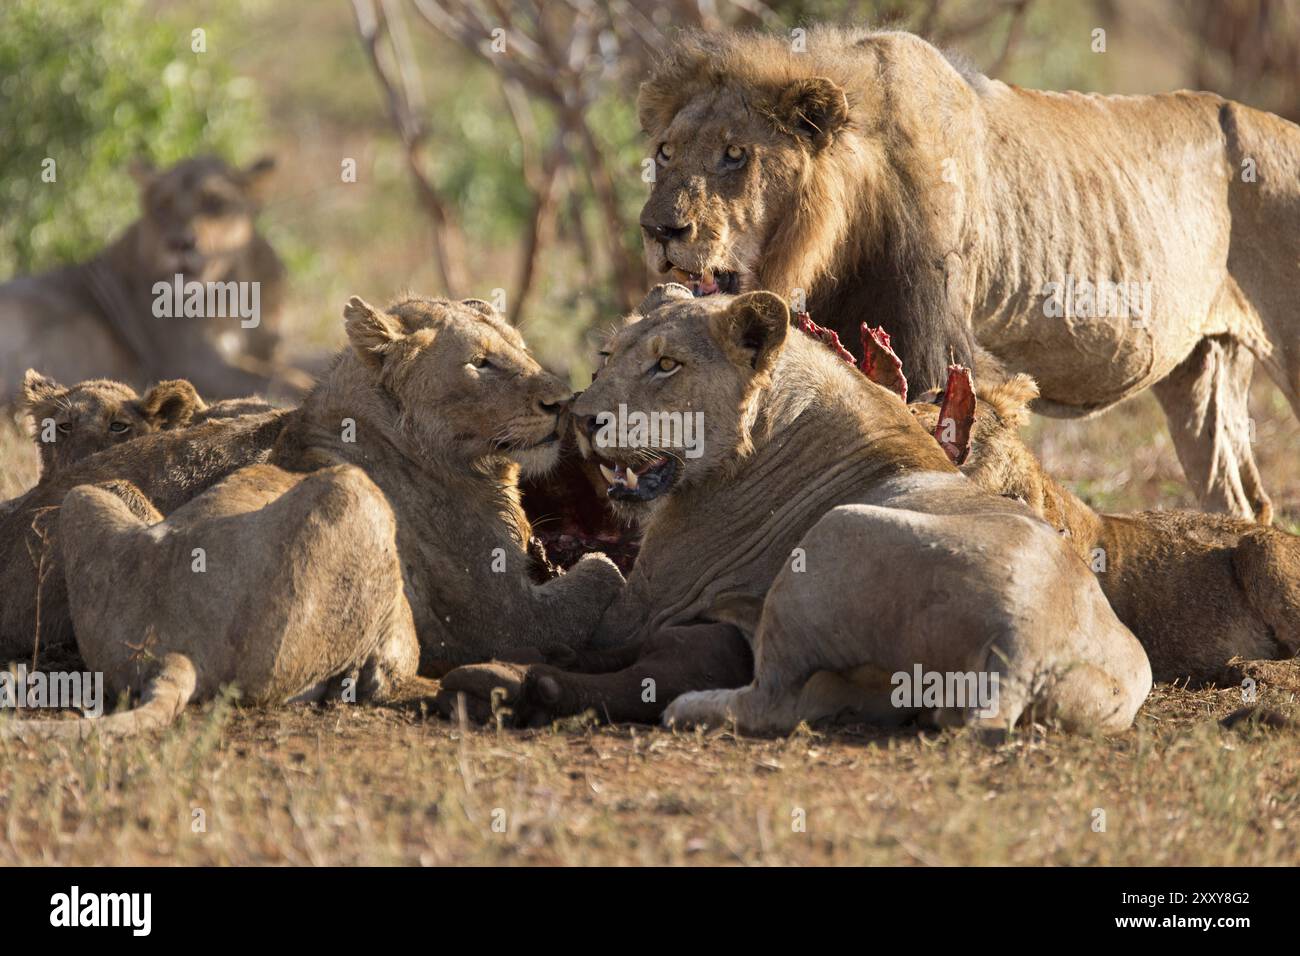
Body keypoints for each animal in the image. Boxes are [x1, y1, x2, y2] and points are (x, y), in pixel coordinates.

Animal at [0, 155, 287, 400]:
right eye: (163, 205)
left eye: (216, 203)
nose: (179, 243)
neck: (229, 287)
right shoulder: (193, 362)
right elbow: (283, 380)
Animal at [2, 296, 625, 736]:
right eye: (481, 363)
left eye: (522, 348)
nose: (562, 401)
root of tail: (170, 648)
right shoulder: (501, 621)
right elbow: (601, 577)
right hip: (352, 500)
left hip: (92, 496)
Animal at [436, 286, 1151, 736]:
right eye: (607, 357)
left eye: (666, 365)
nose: (582, 419)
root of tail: (1021, 649)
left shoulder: (642, 603)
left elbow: (598, 629)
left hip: (830, 536)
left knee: (769, 700)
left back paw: (682, 706)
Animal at [636, 26, 1300, 522]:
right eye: (665, 152)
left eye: (735, 155)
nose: (658, 229)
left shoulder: (932, 341)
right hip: (1202, 370)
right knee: (1239, 500)